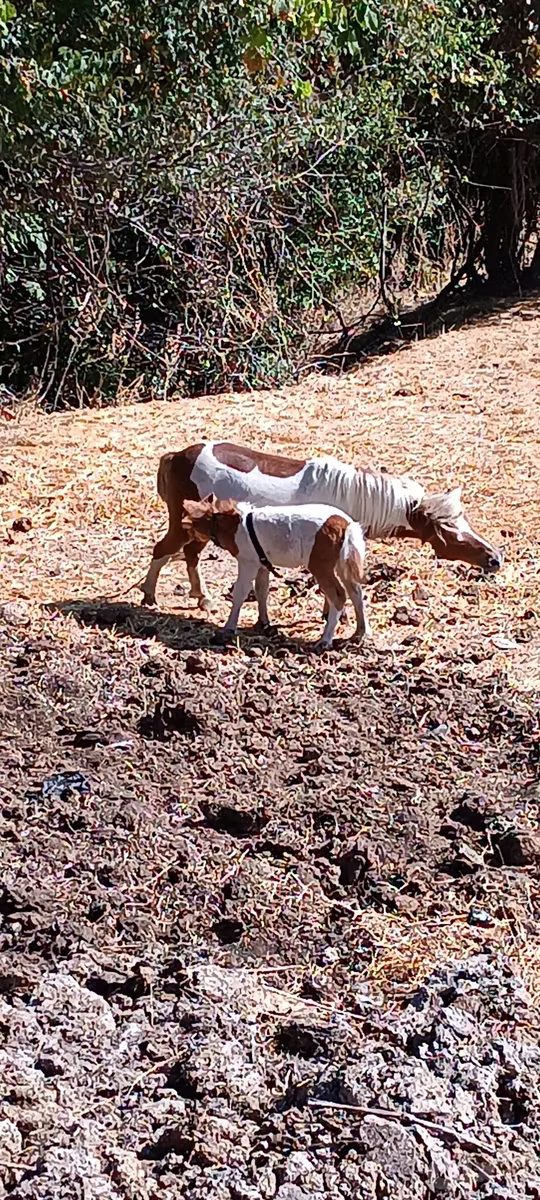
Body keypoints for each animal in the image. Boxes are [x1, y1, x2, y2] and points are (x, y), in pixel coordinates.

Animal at [140, 440, 503, 608]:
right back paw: (149, 597)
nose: (495, 559)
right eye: (450, 531)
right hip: (182, 526)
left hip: (197, 529)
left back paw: (202, 598)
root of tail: (177, 456)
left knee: (189, 557)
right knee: (162, 551)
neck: (352, 497)